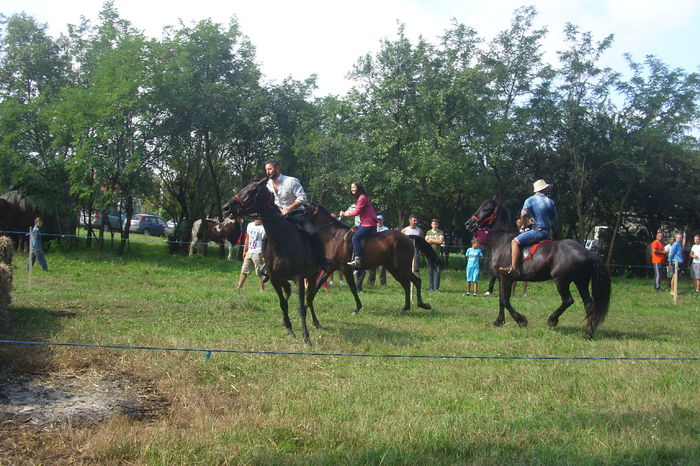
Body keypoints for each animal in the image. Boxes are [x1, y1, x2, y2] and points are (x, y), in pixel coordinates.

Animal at [223, 177, 322, 348]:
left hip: (311, 276)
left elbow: (301, 307)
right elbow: (283, 303)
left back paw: (315, 322)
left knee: (309, 298)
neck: (282, 241)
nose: (226, 207)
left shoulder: (299, 277)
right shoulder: (275, 279)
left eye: (251, 191)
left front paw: (306, 338)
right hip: (284, 279)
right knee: (289, 291)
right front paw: (289, 329)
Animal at [304, 203, 440, 314]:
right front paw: (306, 305)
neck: (334, 237)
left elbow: (353, 287)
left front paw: (357, 308)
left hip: (402, 267)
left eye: (303, 210)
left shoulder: (345, 268)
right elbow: (318, 284)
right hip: (394, 268)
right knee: (406, 284)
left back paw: (422, 305)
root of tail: (407, 237)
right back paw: (405, 307)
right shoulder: (331, 268)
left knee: (416, 281)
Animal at [468, 197, 608, 338]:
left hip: (561, 281)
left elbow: (505, 300)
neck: (503, 241)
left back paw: (552, 319)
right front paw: (499, 321)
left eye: (486, 209)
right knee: (589, 305)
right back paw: (588, 333)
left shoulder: (506, 278)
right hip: (581, 282)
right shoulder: (501, 279)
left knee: (568, 300)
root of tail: (586, 252)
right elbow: (501, 300)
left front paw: (521, 320)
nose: (468, 224)